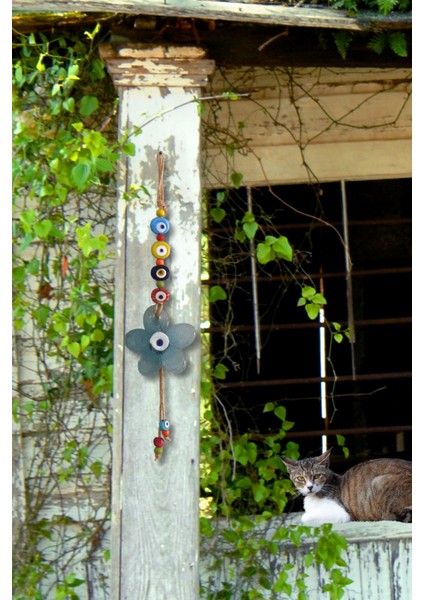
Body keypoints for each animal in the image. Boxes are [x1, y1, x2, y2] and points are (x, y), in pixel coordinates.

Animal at [282, 448, 410, 528]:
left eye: (317, 476)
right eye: (300, 478)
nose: (309, 487)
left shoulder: (342, 513)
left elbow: (304, 517)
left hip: (378, 482)